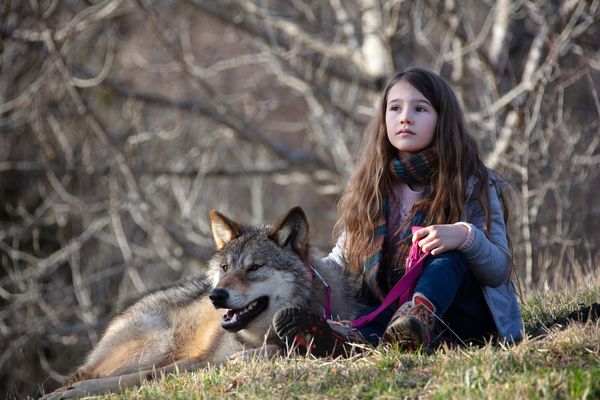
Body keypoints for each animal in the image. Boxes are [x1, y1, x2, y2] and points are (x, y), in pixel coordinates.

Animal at [44, 208, 360, 398]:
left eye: (255, 267)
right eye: (225, 268)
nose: (216, 296)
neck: (255, 337)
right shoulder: (198, 360)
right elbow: (146, 376)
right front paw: (77, 392)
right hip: (158, 345)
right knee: (85, 374)